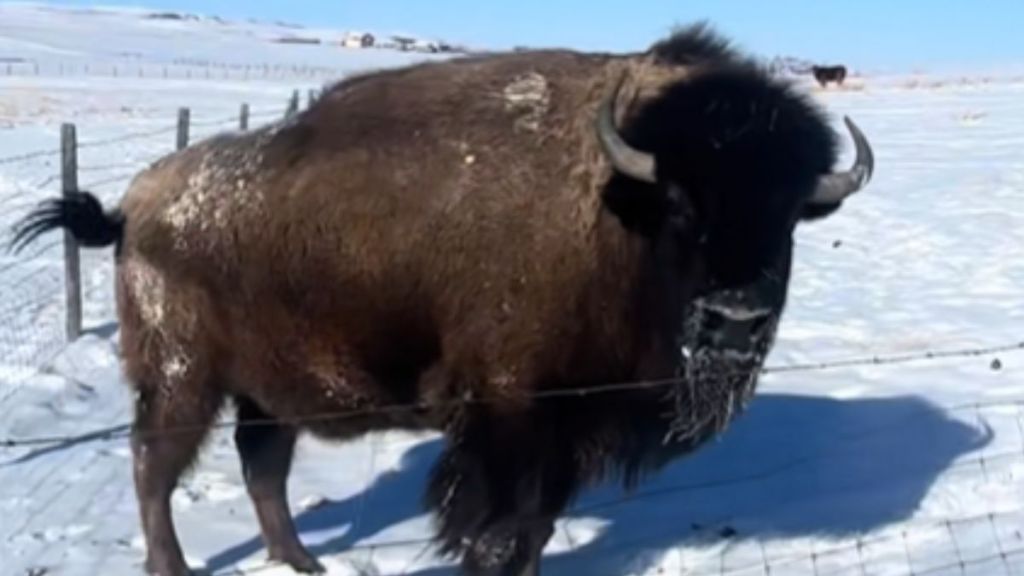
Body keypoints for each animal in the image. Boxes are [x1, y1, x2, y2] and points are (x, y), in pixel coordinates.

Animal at [9, 22, 872, 573]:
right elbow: (500, 534)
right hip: (183, 377)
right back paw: (178, 569)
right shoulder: (510, 424)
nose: (736, 319)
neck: (617, 209)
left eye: (789, 214)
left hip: (269, 389)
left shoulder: (564, 437)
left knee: (263, 469)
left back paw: (302, 564)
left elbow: (533, 531)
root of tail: (136, 202)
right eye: (685, 206)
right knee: (155, 466)